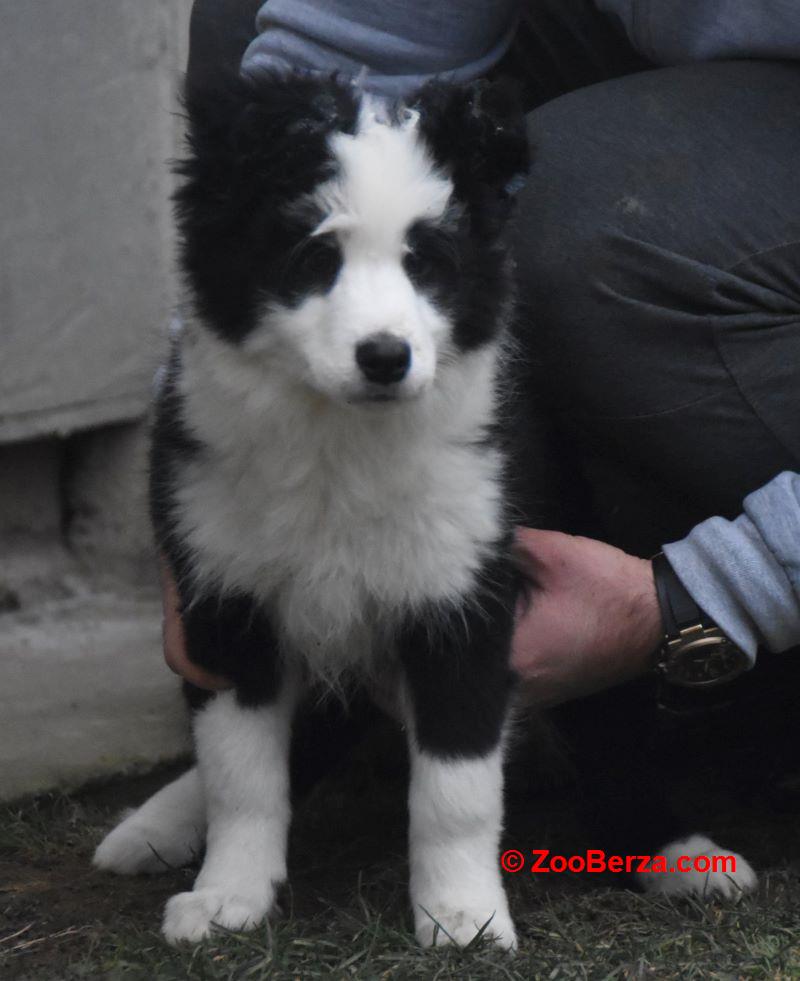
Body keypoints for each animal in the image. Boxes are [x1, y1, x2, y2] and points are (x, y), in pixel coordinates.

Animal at [94, 74, 528, 948]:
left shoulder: (464, 598)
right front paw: (229, 892)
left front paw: (463, 913)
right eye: (314, 257)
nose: (386, 357)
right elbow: (241, 771)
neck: (340, 439)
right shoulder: (225, 599)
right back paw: (155, 825)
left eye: (427, 262)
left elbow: (457, 785)